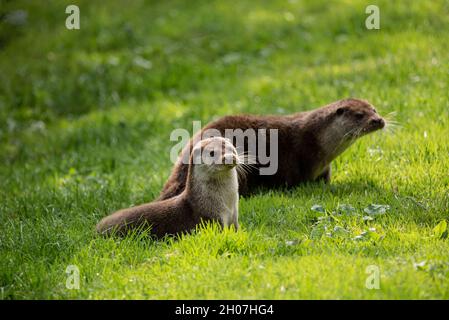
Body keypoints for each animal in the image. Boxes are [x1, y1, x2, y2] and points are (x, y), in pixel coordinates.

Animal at [96, 136, 240, 239]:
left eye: (232, 148)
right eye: (211, 153)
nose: (230, 157)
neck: (227, 203)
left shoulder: (234, 216)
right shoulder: (212, 218)